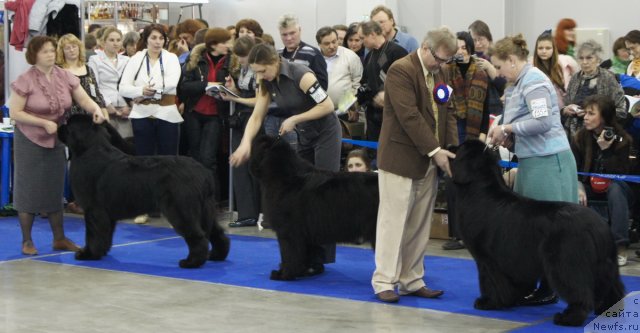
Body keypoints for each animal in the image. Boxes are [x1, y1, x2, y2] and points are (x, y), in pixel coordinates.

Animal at [58, 114, 230, 268]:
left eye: (68, 124)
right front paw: (102, 252)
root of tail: (204, 174)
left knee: (198, 236)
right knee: (217, 233)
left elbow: (93, 234)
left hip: (181, 209)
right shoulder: (107, 214)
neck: (89, 149)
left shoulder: (93, 209)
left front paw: (88, 254)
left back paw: (191, 262)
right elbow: (105, 235)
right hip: (205, 210)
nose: (59, 126)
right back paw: (216, 255)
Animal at [249, 134, 380, 278]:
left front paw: (284, 274)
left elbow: (288, 253)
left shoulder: (288, 230)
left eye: (254, 146)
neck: (285, 176)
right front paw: (305, 270)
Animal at [450, 139, 624, 326]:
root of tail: (599, 225)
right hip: (605, 265)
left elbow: (490, 281)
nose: (450, 146)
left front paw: (488, 302)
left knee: (579, 291)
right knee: (612, 288)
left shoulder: (487, 259)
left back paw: (568, 317)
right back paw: (609, 310)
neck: (479, 190)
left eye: (460, 148)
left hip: (565, 262)